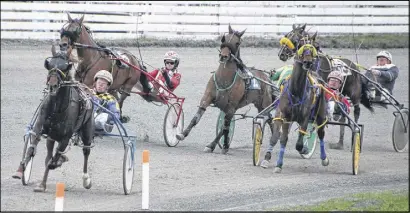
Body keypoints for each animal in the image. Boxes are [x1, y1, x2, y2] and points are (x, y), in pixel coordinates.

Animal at [176, 24, 276, 155]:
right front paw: (182, 134)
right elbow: (196, 118)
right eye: (224, 38)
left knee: (270, 120)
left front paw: (224, 146)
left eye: (237, 43)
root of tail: (266, 78)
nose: (223, 56)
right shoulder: (207, 98)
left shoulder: (231, 106)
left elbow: (225, 127)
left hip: (264, 105)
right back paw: (212, 145)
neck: (224, 79)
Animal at [262, 43, 330, 173]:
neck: (296, 91)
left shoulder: (304, 117)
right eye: (302, 50)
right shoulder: (283, 116)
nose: (308, 62)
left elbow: (299, 144)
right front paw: (271, 161)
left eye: (312, 51)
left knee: (321, 133)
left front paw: (304, 149)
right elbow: (279, 138)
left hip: (320, 113)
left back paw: (324, 159)